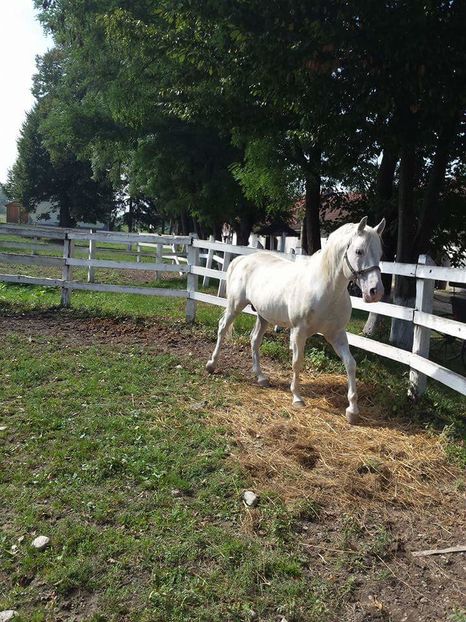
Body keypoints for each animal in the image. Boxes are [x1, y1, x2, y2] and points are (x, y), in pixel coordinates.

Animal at [208, 217, 386, 426]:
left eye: (380, 253)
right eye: (359, 251)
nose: (375, 292)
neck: (325, 289)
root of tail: (242, 259)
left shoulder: (337, 335)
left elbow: (350, 364)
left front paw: (352, 410)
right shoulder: (299, 332)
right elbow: (297, 361)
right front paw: (297, 398)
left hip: (263, 316)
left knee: (254, 340)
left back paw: (261, 377)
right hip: (235, 306)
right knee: (222, 329)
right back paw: (211, 365)